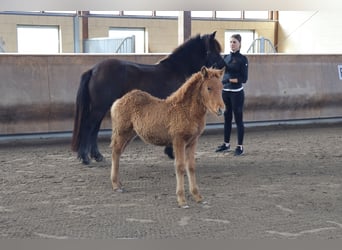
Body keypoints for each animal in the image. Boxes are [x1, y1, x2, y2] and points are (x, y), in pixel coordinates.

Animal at [71, 31, 224, 165]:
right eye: (214, 51)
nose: (224, 66)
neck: (177, 69)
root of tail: (94, 70)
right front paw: (171, 152)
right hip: (99, 107)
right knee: (88, 126)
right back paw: (85, 157)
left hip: (101, 108)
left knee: (94, 129)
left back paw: (97, 156)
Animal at [109, 67, 224, 209]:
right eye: (209, 88)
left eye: (222, 87)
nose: (221, 109)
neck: (186, 110)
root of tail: (118, 101)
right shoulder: (178, 141)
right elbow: (180, 166)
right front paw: (182, 200)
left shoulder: (192, 142)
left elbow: (191, 166)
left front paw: (198, 197)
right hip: (122, 132)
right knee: (115, 152)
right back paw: (115, 185)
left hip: (130, 134)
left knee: (118, 152)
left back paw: (119, 184)